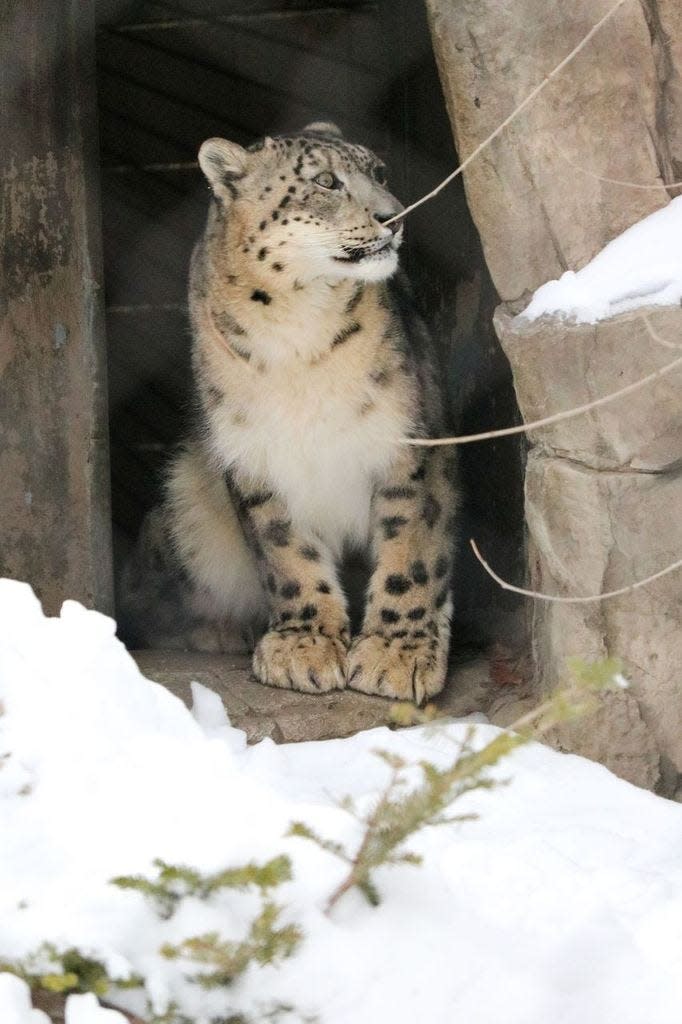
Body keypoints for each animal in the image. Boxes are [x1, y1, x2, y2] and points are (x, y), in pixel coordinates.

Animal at [122, 117, 458, 696]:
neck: (300, 333)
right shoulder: (254, 451)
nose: (394, 216)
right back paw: (221, 629)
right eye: (325, 181)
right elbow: (285, 552)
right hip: (183, 500)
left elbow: (411, 546)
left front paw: (397, 654)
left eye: (379, 172)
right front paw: (305, 647)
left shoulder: (406, 440)